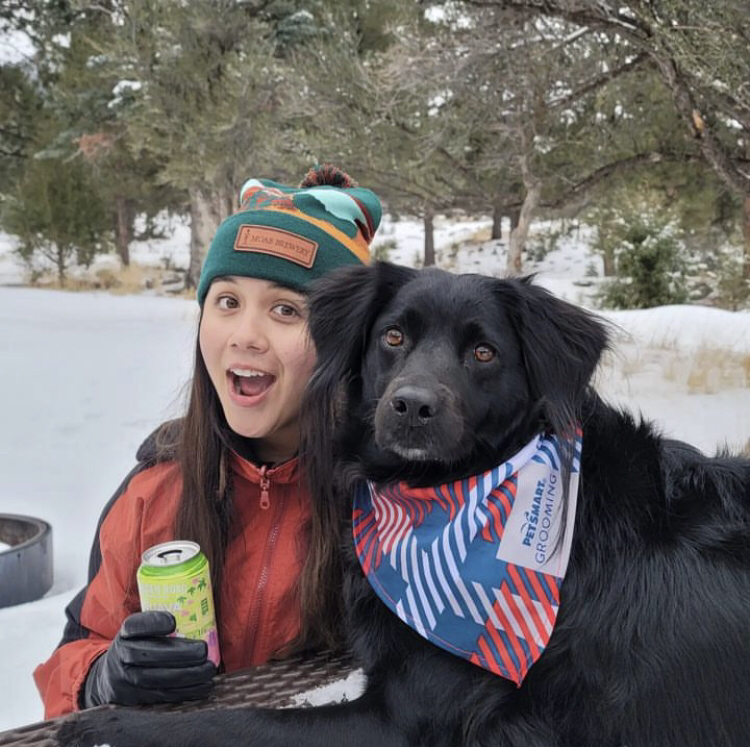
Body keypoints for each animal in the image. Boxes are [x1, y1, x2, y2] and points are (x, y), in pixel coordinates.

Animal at [58, 262, 750, 747]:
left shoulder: (403, 720)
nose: (412, 405)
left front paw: (108, 726)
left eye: (483, 352)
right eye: (393, 336)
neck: (451, 495)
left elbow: (232, 724)